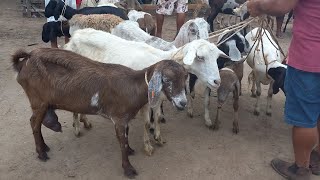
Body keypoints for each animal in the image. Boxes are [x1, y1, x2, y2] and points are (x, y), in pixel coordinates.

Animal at [11, 48, 188, 179]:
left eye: (185, 78)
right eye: (167, 80)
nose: (183, 103)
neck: (133, 86)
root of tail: (27, 58)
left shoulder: (125, 119)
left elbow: (126, 137)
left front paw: (131, 150)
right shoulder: (118, 118)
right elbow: (121, 143)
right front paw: (128, 169)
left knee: (36, 122)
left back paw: (45, 147)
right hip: (38, 101)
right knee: (34, 123)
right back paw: (41, 153)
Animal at [63, 28, 229, 155]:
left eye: (216, 57)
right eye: (200, 57)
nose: (217, 81)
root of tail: (75, 35)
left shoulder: (158, 98)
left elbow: (157, 118)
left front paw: (158, 137)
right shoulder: (143, 100)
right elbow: (146, 122)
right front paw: (148, 146)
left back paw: (85, 121)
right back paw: (77, 127)